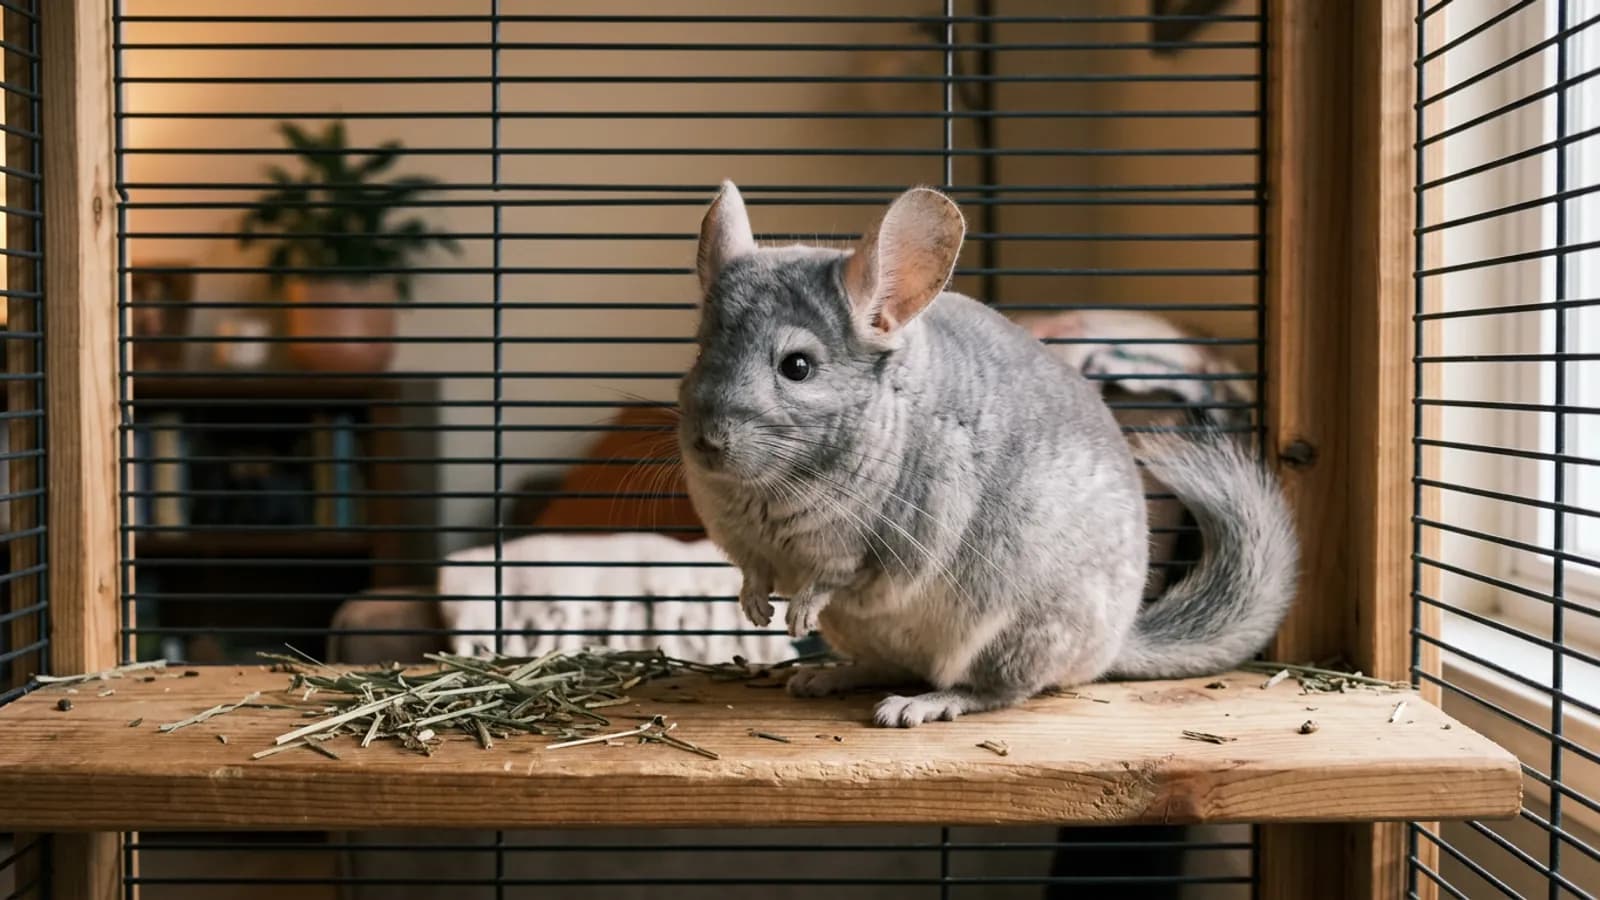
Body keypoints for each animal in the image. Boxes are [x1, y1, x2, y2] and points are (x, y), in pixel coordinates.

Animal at [677, 181, 1298, 727]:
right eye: (702, 351)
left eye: (798, 366)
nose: (706, 442)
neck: (770, 490)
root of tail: (1115, 644)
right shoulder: (744, 544)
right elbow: (753, 573)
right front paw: (756, 608)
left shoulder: (891, 541)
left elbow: (837, 576)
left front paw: (799, 611)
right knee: (886, 666)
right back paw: (825, 676)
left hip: (1013, 629)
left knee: (998, 691)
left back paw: (920, 705)